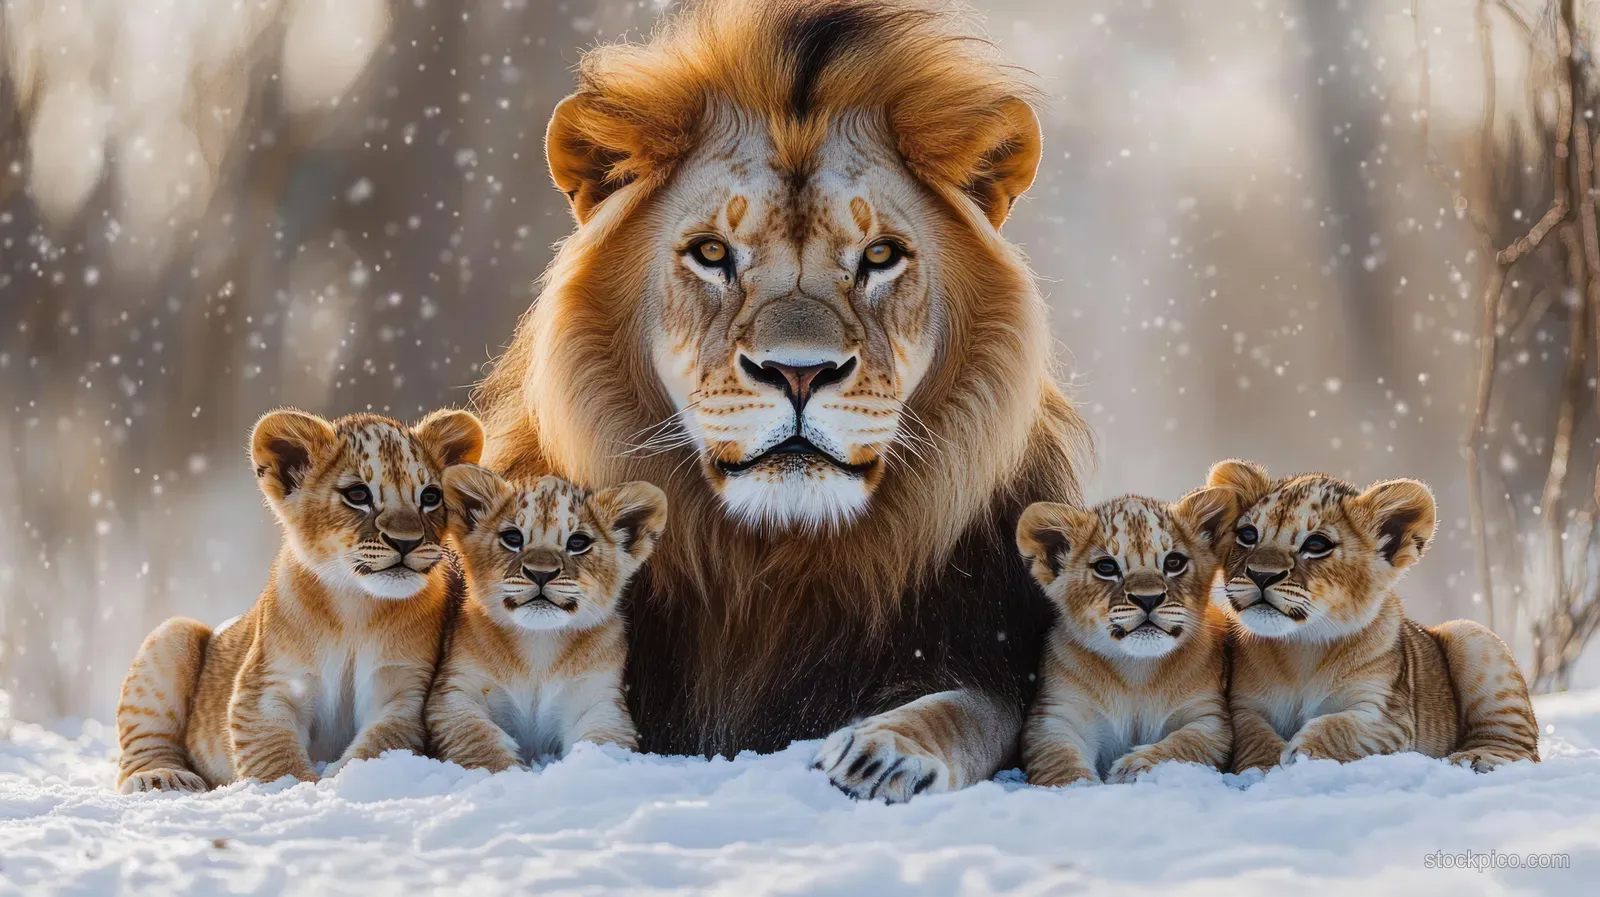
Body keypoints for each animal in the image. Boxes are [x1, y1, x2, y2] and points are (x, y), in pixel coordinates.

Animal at [474, 0, 1091, 800]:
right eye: (712, 254)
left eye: (880, 256)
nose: (799, 373)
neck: (772, 562)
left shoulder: (992, 649)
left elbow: (971, 710)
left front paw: (886, 752)